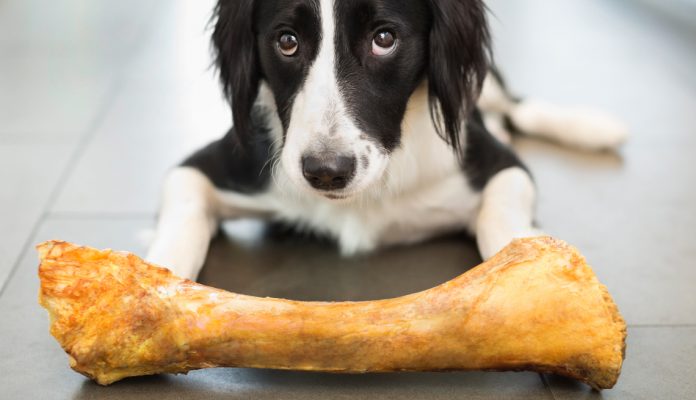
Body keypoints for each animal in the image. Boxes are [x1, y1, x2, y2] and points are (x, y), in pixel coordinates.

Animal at [145, 0, 624, 282]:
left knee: (517, 104)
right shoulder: (207, 166)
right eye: (286, 41)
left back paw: (594, 127)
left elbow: (500, 220)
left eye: (384, 38)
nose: (327, 173)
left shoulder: (502, 166)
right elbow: (180, 221)